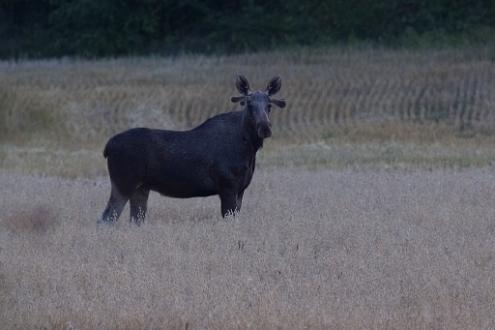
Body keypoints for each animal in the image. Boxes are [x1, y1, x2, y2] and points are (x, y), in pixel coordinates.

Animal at [99, 75, 286, 224]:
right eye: (249, 105)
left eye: (269, 105)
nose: (265, 127)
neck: (249, 149)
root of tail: (107, 147)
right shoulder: (227, 186)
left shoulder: (241, 189)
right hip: (123, 184)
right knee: (105, 219)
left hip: (141, 188)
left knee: (134, 220)